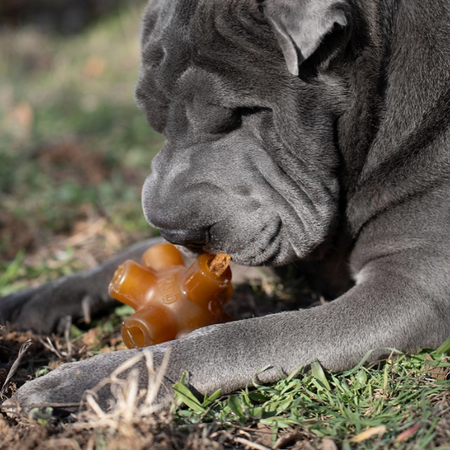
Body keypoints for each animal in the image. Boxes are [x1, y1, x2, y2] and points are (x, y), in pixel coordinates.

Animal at [0, 0, 450, 410]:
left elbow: (240, 335)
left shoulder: (410, 286)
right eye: (150, 115)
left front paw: (92, 381)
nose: (173, 231)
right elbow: (127, 255)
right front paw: (30, 299)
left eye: (242, 113)